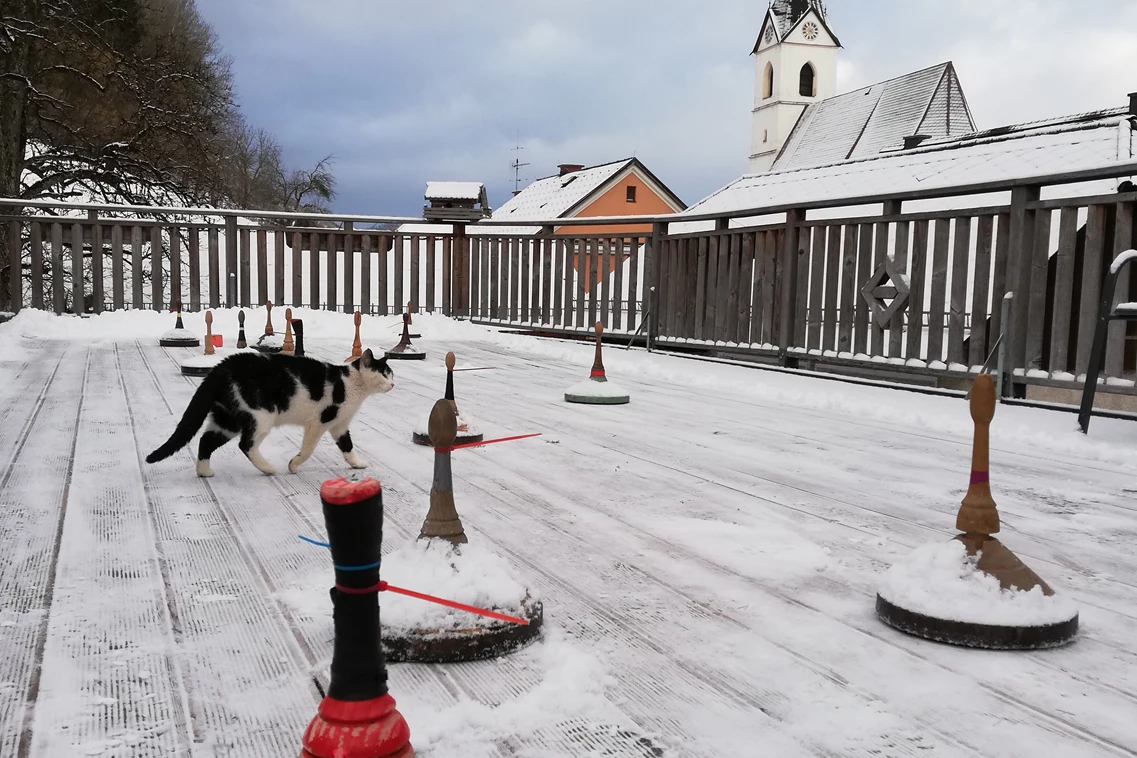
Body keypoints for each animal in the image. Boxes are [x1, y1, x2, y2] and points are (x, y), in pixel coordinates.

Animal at [146, 347, 395, 475]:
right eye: (384, 374)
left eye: (391, 374)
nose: (393, 384)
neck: (353, 384)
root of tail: (221, 367)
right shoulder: (319, 422)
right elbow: (308, 449)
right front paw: (294, 465)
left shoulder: (339, 426)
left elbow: (347, 446)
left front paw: (356, 464)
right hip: (261, 416)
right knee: (245, 444)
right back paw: (267, 468)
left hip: (228, 419)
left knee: (206, 440)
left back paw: (204, 471)